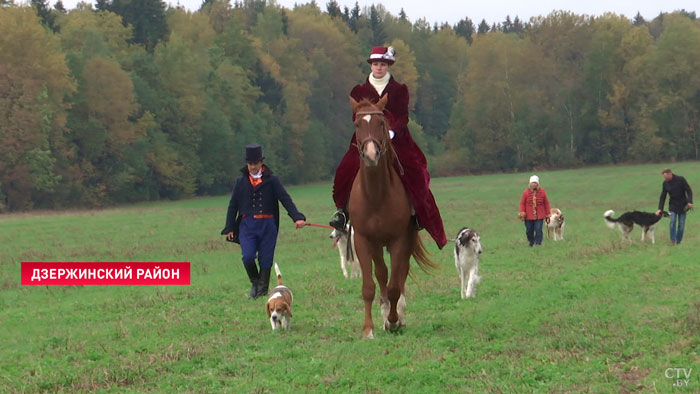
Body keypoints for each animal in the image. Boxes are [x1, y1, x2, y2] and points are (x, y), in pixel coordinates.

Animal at [348, 96, 434, 338]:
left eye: (381, 123)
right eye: (357, 124)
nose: (370, 155)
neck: (376, 195)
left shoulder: (399, 240)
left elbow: (396, 286)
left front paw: (394, 320)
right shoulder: (363, 240)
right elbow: (369, 286)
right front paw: (369, 329)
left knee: (400, 274)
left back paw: (397, 315)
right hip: (377, 245)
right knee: (382, 273)